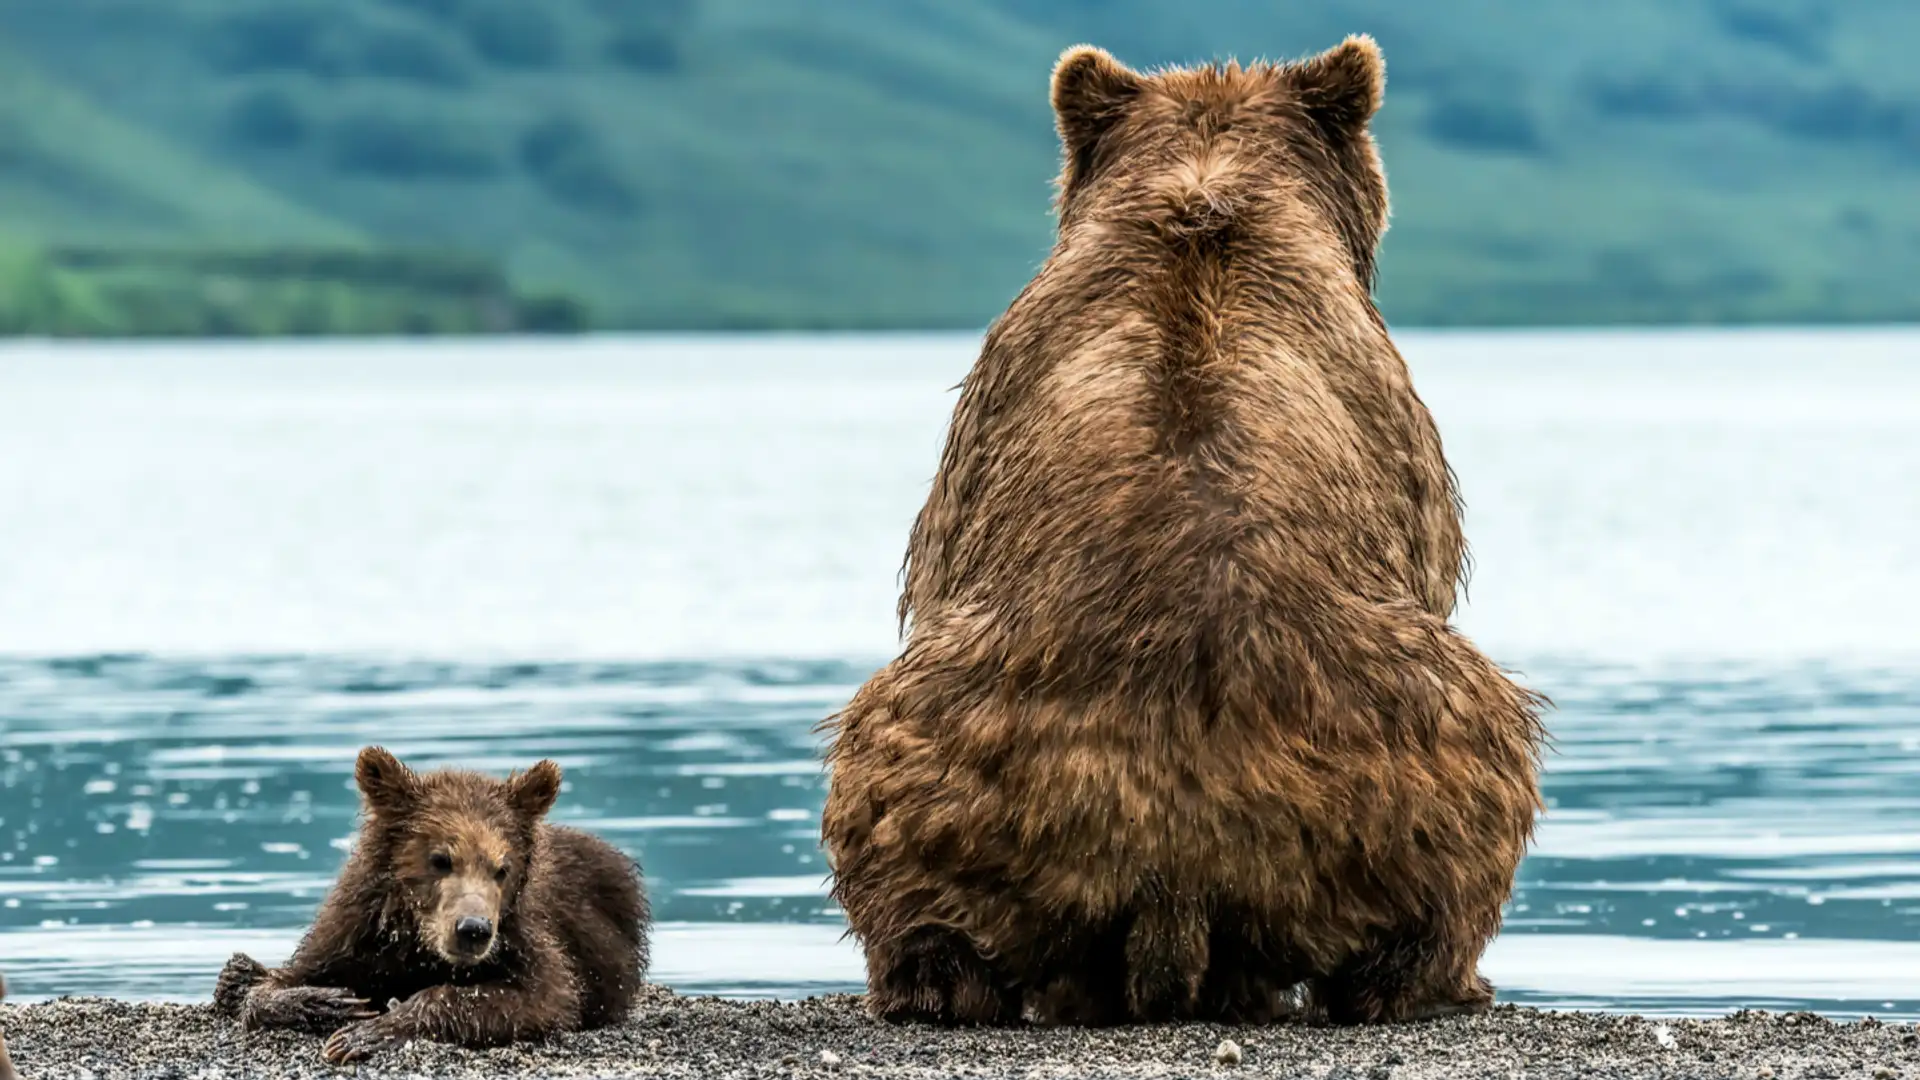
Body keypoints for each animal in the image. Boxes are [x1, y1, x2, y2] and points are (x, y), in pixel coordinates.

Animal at [212, 747, 650, 1063]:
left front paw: (367, 1032)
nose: (472, 929)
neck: (417, 941)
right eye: (440, 859)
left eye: (502, 868)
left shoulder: (527, 941)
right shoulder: (354, 930)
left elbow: (543, 997)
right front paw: (329, 1002)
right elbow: (279, 983)